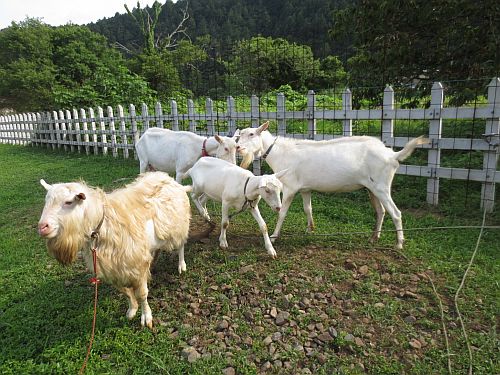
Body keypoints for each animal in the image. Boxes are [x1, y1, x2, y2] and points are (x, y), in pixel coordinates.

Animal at [37, 173, 191, 328]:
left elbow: (142, 294)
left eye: (68, 202)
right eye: (46, 201)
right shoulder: (112, 268)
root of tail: (174, 182)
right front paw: (132, 310)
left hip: (179, 228)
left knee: (181, 245)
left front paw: (146, 317)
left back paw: (181, 265)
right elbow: (125, 291)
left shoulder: (137, 265)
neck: (103, 223)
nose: (42, 227)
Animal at [236, 120, 428, 250]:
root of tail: (392, 155)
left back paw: (399, 243)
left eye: (252, 134)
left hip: (382, 186)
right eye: (240, 135)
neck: (280, 152)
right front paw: (310, 229)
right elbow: (308, 208)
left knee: (395, 213)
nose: (238, 147)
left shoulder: (290, 187)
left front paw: (275, 236)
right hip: (372, 188)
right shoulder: (305, 188)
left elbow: (282, 212)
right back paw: (374, 238)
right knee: (380, 211)